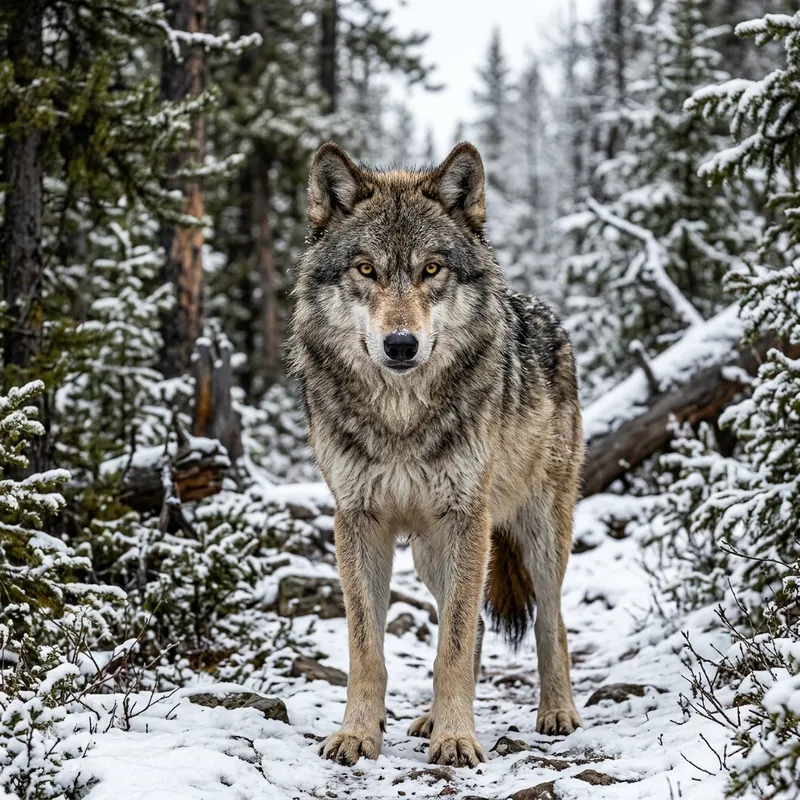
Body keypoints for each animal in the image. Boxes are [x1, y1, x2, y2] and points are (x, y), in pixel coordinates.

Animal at [287, 141, 584, 768]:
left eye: (431, 269)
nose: (401, 345)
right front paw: (359, 733)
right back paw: (429, 719)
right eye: (366, 269)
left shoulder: (466, 517)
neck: (401, 419)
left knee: (550, 620)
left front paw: (456, 740)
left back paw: (557, 712)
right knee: (472, 622)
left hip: (534, 536)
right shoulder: (358, 521)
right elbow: (368, 648)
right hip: (433, 553)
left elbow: (452, 644)